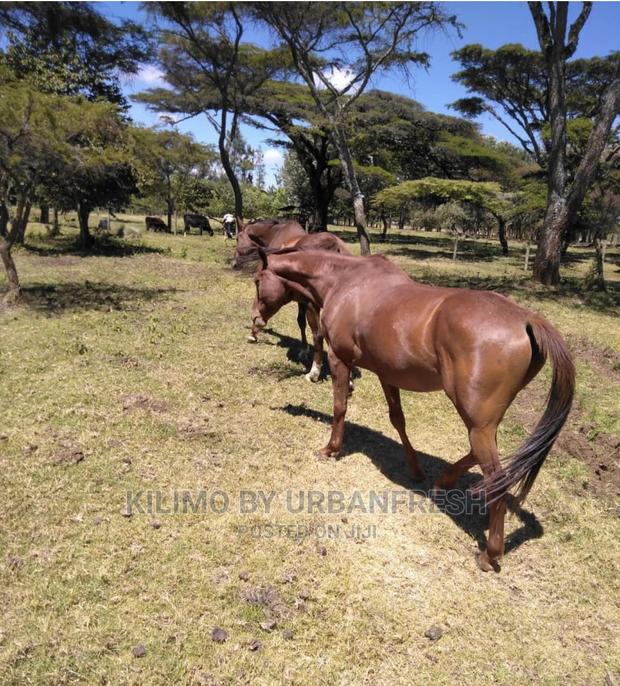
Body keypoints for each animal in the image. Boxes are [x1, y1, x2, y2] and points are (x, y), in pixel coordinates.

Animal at [249, 232, 351, 382]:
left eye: (257, 281)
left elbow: (311, 330)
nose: (254, 316)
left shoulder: (308, 304)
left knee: (317, 333)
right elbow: (302, 323)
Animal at [253, 247, 575, 572]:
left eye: (257, 280)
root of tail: (526, 318)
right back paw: (444, 481)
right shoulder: (387, 374)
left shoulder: (339, 359)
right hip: (483, 420)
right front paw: (415, 469)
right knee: (487, 454)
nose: (254, 320)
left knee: (495, 474)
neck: (345, 281)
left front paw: (331, 448)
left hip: (475, 420)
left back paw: (490, 553)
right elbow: (398, 419)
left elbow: (340, 406)